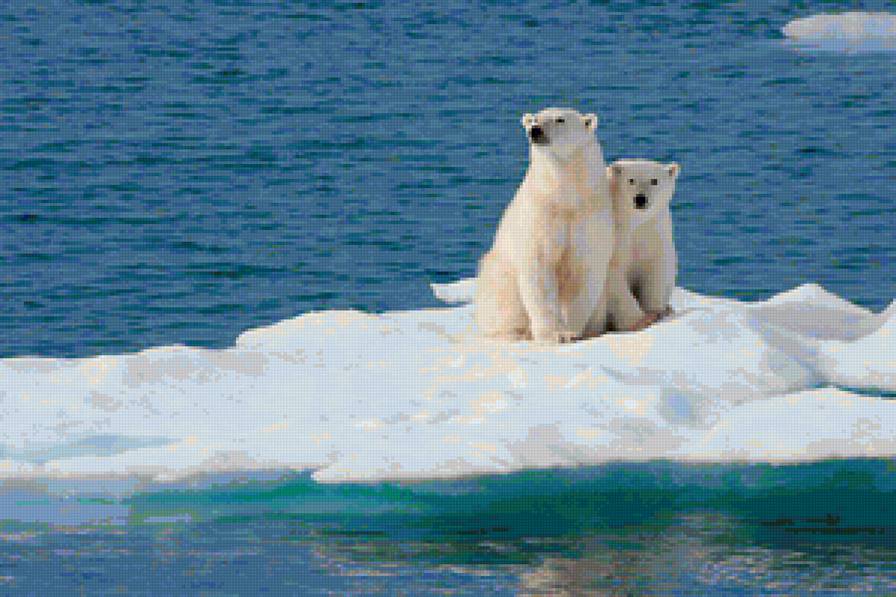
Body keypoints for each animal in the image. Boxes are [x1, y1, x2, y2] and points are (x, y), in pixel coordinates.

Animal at [474, 107, 614, 343]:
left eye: (560, 119)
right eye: (534, 118)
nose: (535, 130)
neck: (566, 195)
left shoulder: (590, 217)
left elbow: (585, 271)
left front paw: (573, 331)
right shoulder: (541, 214)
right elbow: (539, 268)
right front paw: (557, 334)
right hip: (500, 274)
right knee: (505, 302)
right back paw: (514, 332)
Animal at [589, 159, 680, 334]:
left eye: (654, 181)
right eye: (631, 180)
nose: (640, 199)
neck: (634, 222)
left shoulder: (654, 233)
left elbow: (654, 273)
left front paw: (656, 312)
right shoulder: (615, 239)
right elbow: (614, 278)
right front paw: (640, 321)